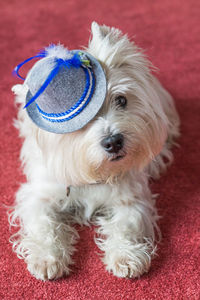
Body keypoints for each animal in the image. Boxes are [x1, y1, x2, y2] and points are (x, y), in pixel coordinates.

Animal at [9, 22, 180, 280]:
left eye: (121, 100)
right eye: (80, 124)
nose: (114, 141)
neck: (95, 173)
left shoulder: (130, 198)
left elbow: (126, 226)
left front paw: (125, 257)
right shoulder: (39, 195)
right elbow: (44, 224)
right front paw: (47, 259)